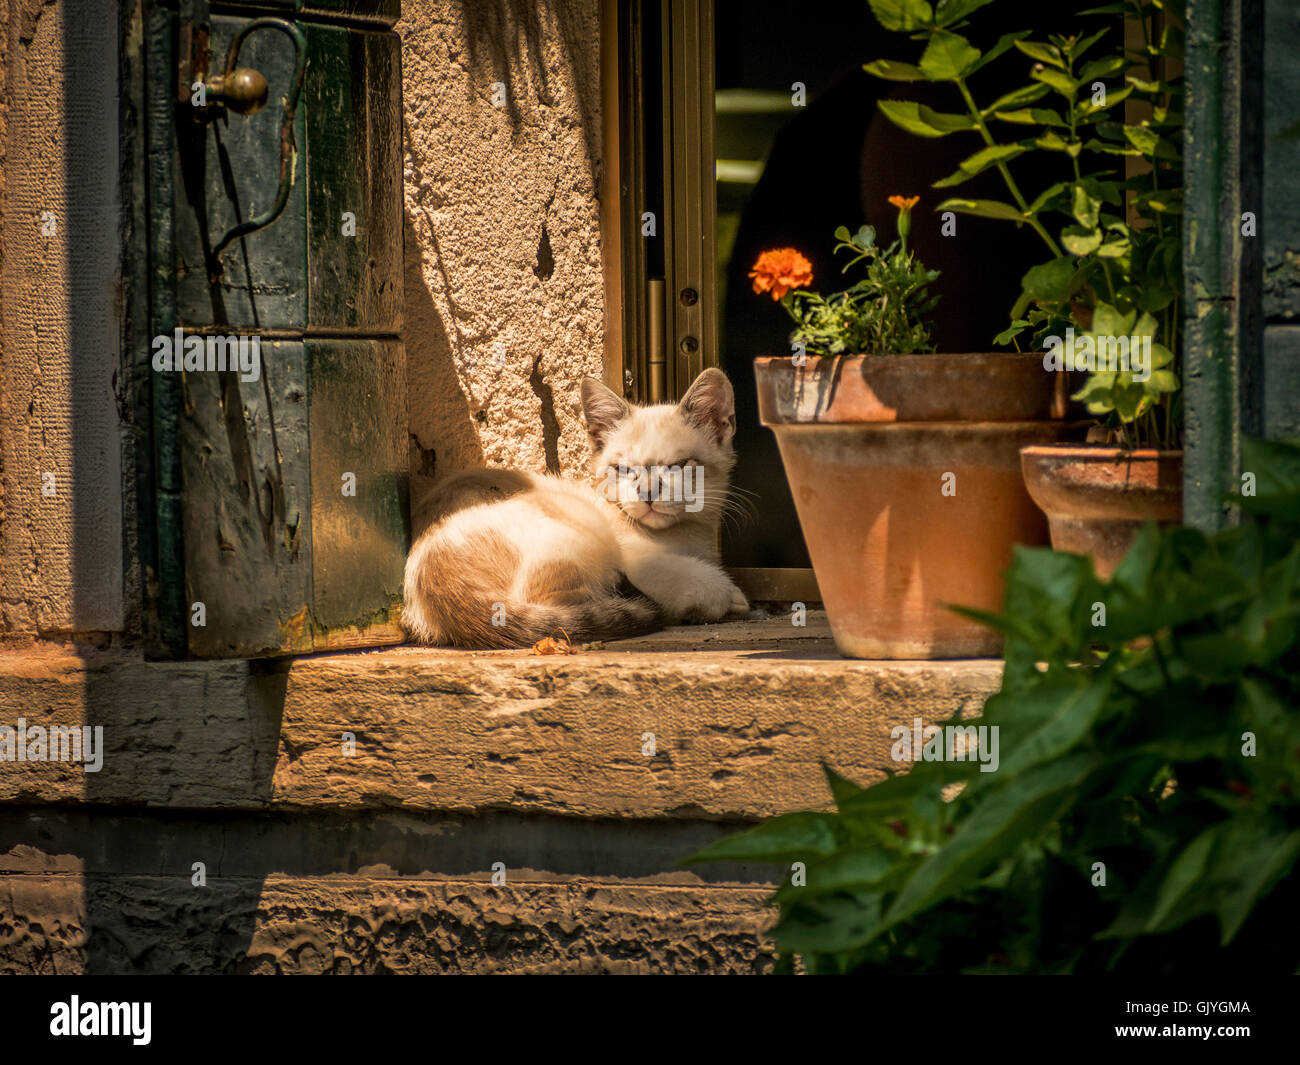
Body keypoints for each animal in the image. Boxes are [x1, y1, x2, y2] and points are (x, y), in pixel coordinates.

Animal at [405, 366, 754, 650]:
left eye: (678, 466)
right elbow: (702, 584)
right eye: (623, 469)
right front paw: (729, 596)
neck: (686, 537)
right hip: (583, 538)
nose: (647, 492)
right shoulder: (638, 561)